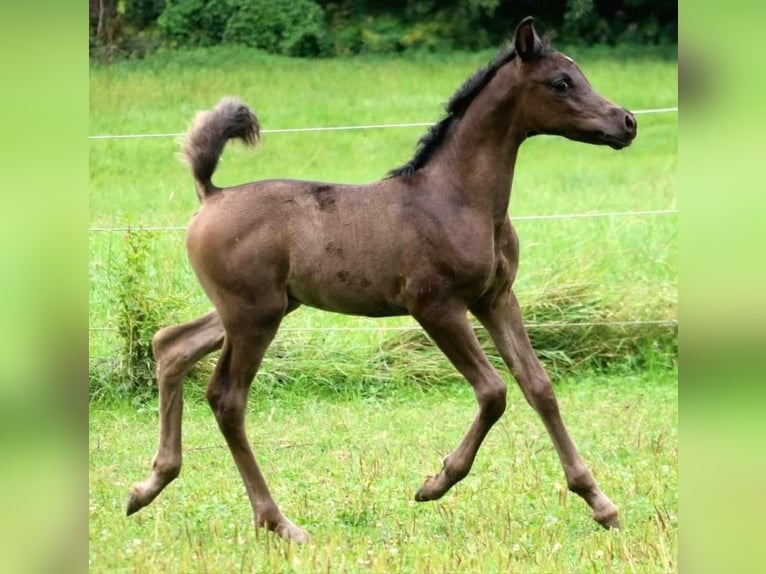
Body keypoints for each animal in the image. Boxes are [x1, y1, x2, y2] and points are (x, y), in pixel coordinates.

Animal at [129, 15, 640, 544]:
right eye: (561, 83)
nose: (627, 122)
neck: (457, 199)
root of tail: (211, 195)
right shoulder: (435, 306)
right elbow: (493, 392)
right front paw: (436, 482)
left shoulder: (496, 298)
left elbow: (538, 386)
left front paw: (600, 502)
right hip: (254, 316)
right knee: (226, 398)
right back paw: (279, 522)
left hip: (256, 309)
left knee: (172, 345)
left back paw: (149, 486)